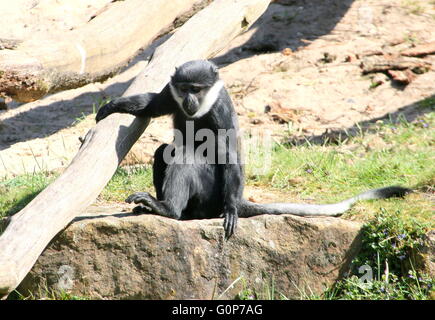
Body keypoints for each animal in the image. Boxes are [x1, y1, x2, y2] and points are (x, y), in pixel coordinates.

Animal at [95, 60, 412, 239]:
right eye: (184, 88)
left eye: (197, 89)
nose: (189, 100)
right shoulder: (170, 94)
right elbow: (153, 104)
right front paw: (112, 106)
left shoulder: (219, 110)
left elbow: (230, 158)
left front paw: (232, 212)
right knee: (164, 150)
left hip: (212, 194)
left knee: (186, 155)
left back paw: (169, 209)